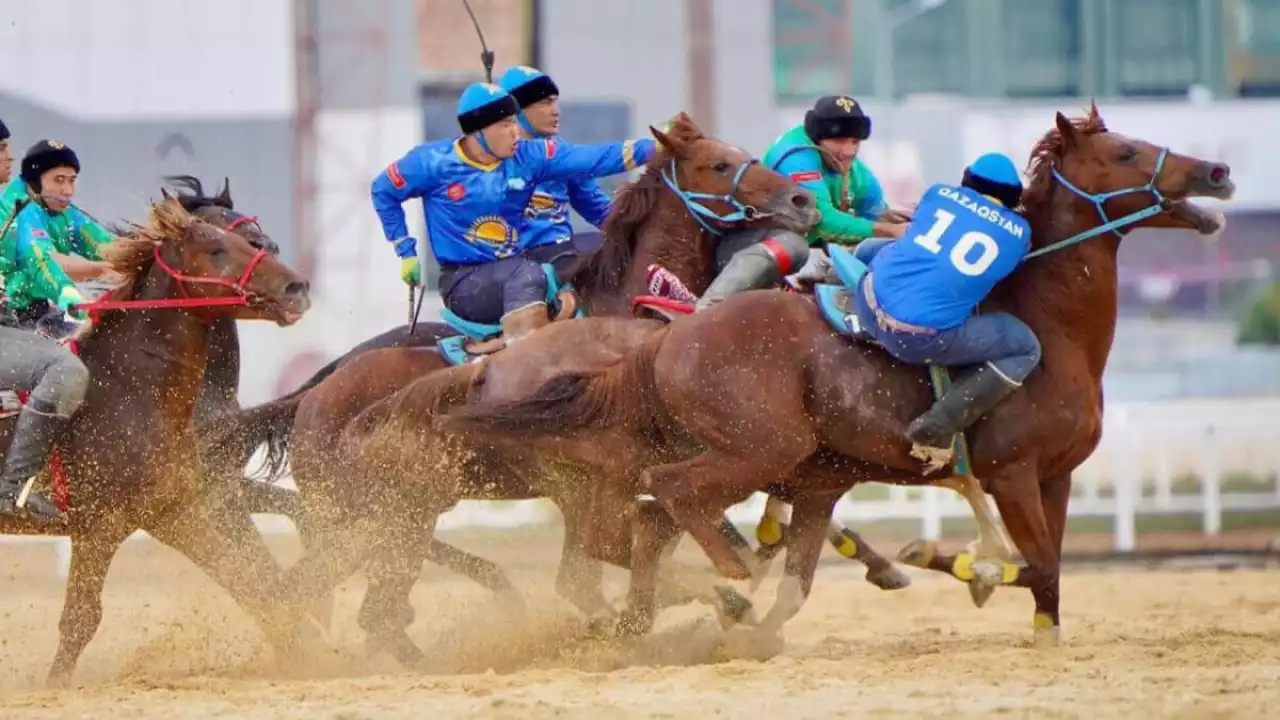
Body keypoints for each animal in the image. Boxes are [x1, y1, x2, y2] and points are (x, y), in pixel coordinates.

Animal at [0, 196, 312, 681]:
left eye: (256, 241)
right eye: (218, 248)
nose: (296, 286)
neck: (125, 389)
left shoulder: (176, 511)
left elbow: (253, 583)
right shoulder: (99, 525)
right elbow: (79, 621)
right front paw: (54, 686)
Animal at [437, 102, 1228, 638]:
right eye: (1124, 152)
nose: (1217, 171)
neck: (1044, 319)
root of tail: (667, 340)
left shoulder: (1052, 476)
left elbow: (1050, 575)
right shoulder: (1010, 472)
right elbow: (1033, 564)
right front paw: (956, 563)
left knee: (640, 534)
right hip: (745, 450)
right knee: (659, 507)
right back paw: (725, 582)